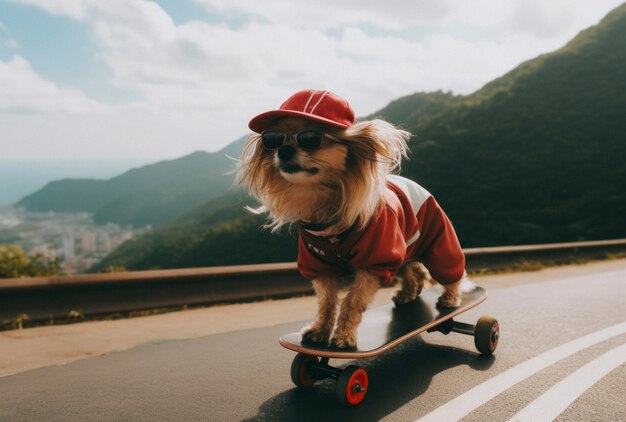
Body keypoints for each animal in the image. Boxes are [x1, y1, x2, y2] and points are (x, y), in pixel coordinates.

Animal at [238, 88, 468, 346]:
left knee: (452, 272)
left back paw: (450, 298)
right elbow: (327, 303)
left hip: (439, 240)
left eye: (312, 138)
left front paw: (343, 336)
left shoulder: (374, 262)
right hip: (403, 251)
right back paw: (408, 294)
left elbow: (352, 302)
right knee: (415, 272)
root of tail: (417, 185)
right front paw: (320, 330)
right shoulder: (319, 266)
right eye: (273, 139)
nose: (283, 150)